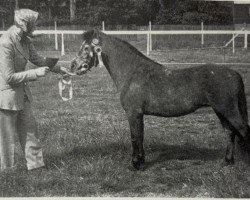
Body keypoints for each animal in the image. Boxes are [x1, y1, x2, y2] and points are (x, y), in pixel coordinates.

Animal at [70, 29, 250, 170]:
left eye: (86, 47)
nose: (73, 66)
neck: (132, 72)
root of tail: (234, 73)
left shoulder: (133, 113)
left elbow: (135, 137)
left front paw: (135, 164)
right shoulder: (139, 114)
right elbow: (140, 136)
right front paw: (141, 162)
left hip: (229, 111)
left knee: (243, 131)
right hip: (220, 111)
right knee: (230, 132)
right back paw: (227, 161)